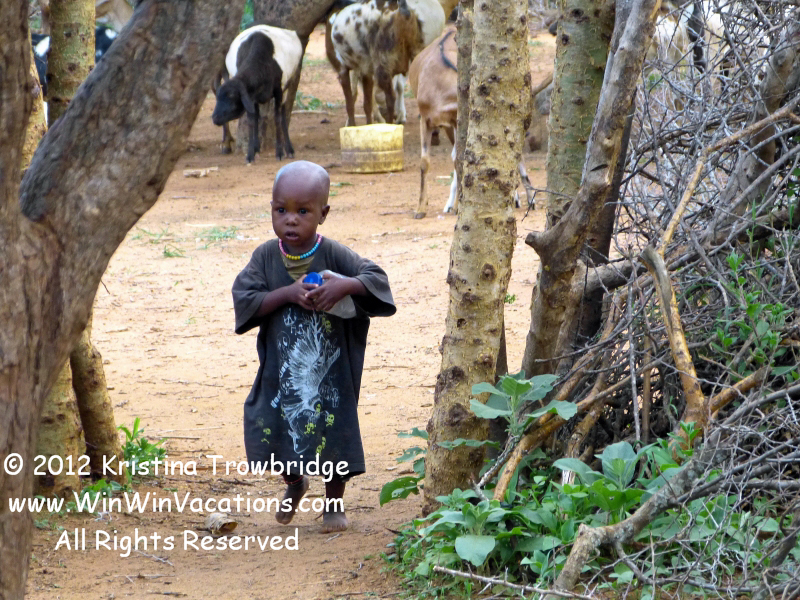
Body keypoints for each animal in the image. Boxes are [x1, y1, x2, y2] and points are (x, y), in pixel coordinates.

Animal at [212, 25, 303, 164]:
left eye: (232, 97)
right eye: (218, 97)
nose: (214, 118)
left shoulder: (278, 91)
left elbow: (277, 119)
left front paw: (279, 152)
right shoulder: (250, 97)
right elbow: (251, 120)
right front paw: (250, 155)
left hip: (288, 85)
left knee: (283, 114)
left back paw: (289, 149)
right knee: (257, 117)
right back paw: (256, 147)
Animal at [409, 26, 534, 219]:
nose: (526, 128)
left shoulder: (457, 120)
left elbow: (460, 159)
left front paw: (458, 206)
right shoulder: (426, 119)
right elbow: (425, 162)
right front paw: (421, 209)